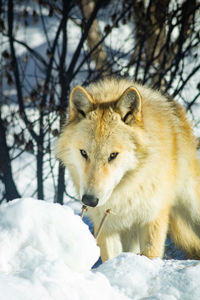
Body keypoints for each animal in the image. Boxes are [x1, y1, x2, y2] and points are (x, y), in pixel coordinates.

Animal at [55, 78, 200, 262]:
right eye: (84, 153)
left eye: (113, 155)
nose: (89, 200)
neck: (126, 191)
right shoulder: (107, 226)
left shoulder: (152, 218)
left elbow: (150, 254)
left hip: (192, 209)